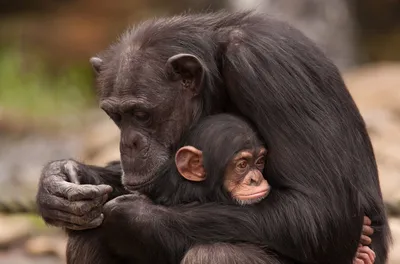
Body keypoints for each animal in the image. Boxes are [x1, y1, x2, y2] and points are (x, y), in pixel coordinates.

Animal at [36, 10, 390, 264]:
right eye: (116, 116)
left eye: (141, 114)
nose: (129, 143)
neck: (217, 73)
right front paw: (60, 182)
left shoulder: (266, 67)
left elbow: (322, 210)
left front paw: (133, 218)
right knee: (85, 236)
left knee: (218, 253)